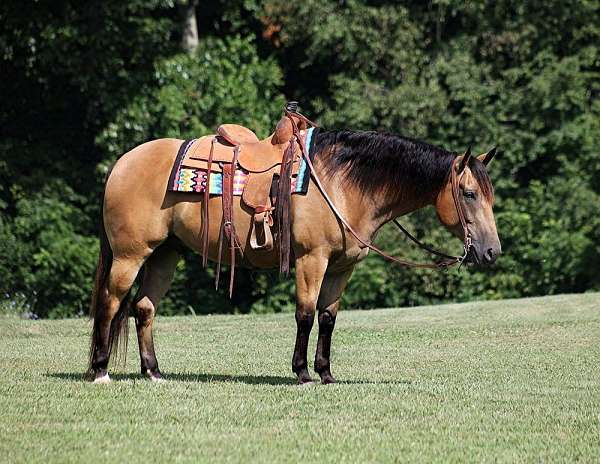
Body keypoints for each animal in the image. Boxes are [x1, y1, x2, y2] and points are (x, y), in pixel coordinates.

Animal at [86, 104, 500, 384]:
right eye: (469, 193)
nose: (491, 251)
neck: (341, 182)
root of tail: (121, 162)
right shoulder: (311, 260)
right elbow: (305, 313)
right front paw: (301, 373)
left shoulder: (341, 268)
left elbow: (328, 317)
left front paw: (326, 374)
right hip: (130, 255)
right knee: (110, 302)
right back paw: (101, 370)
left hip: (165, 255)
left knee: (143, 308)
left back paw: (154, 372)